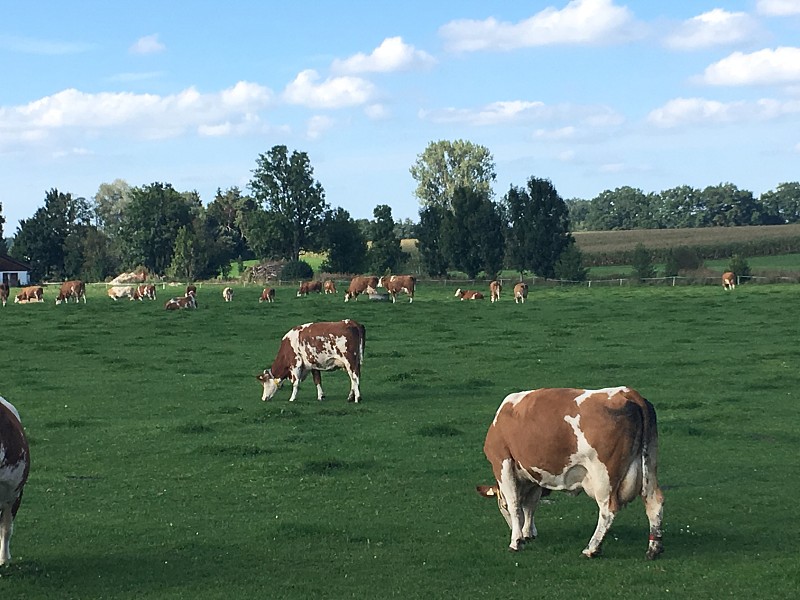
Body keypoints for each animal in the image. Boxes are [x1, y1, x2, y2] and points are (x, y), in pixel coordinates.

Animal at [476, 386, 664, 560]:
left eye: (502, 507)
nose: (520, 534)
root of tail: (627, 393)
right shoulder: (534, 476)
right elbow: (530, 505)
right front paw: (528, 533)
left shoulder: (502, 461)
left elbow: (515, 504)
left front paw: (516, 540)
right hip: (649, 465)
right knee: (654, 501)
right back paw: (653, 549)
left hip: (604, 476)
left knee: (608, 510)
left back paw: (591, 549)